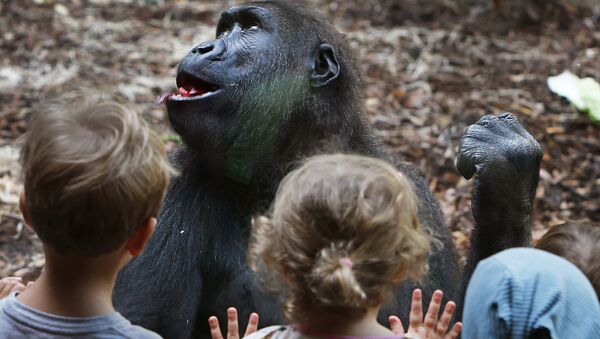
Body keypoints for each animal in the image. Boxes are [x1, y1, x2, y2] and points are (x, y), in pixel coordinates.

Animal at [113, 1, 544, 338]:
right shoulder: (168, 187)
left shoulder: (416, 199)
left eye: (249, 29)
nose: (203, 46)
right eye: (223, 30)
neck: (288, 167)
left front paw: (506, 184)